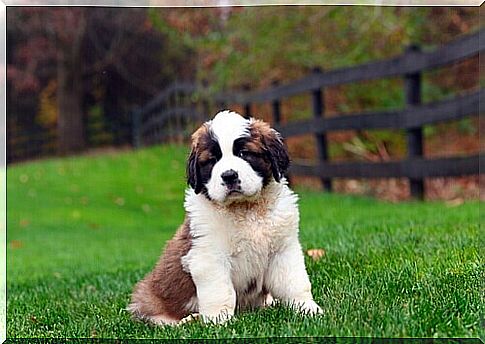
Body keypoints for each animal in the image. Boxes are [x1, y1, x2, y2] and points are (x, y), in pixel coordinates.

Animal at [130, 111, 322, 326]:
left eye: (244, 153)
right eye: (212, 160)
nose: (229, 176)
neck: (246, 210)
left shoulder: (283, 250)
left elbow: (294, 283)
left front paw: (307, 309)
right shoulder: (209, 257)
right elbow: (220, 292)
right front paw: (218, 322)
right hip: (149, 297)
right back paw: (189, 319)